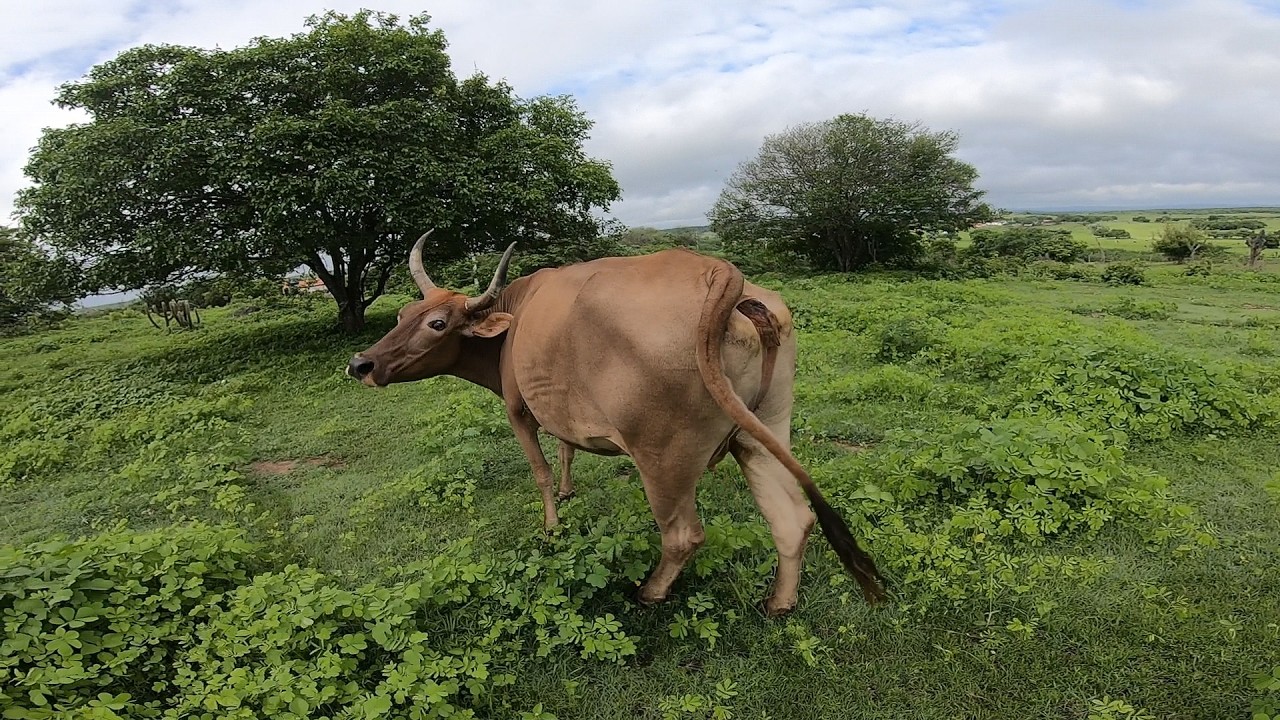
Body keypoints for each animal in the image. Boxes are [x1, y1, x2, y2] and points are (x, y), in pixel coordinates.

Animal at [347, 231, 886, 615]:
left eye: (437, 324)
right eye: (403, 312)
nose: (361, 364)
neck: (516, 315)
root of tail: (718, 272)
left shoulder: (518, 410)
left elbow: (541, 472)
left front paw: (552, 527)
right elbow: (566, 448)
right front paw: (569, 490)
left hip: (662, 458)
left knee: (683, 535)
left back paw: (650, 592)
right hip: (764, 430)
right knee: (791, 518)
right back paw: (779, 602)